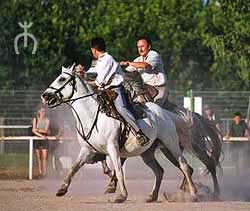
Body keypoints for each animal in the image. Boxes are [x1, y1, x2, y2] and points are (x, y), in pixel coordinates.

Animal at [41, 64, 197, 203]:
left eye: (61, 79)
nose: (45, 95)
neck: (92, 116)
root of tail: (165, 113)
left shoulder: (112, 148)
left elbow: (118, 170)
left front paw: (122, 196)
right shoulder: (86, 150)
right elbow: (73, 167)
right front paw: (62, 189)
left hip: (171, 144)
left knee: (184, 166)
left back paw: (193, 194)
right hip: (148, 152)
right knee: (159, 171)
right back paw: (152, 196)